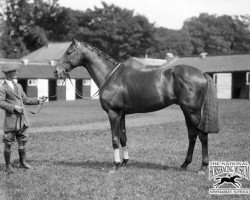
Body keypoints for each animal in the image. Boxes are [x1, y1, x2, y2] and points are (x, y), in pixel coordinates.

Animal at [52, 38, 219, 173]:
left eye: (69, 52)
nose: (56, 71)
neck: (110, 76)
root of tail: (202, 73)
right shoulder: (122, 114)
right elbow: (123, 137)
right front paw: (124, 162)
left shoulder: (113, 113)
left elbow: (115, 139)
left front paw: (115, 165)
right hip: (186, 111)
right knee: (192, 136)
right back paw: (184, 164)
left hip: (193, 112)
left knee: (202, 136)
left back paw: (203, 167)